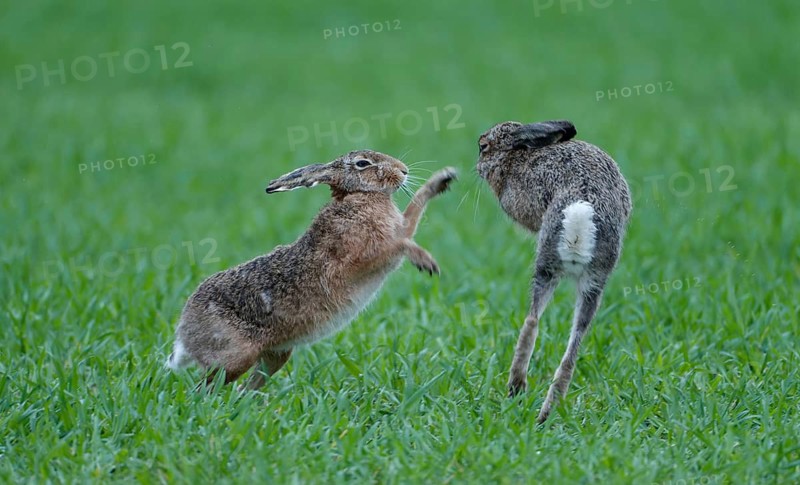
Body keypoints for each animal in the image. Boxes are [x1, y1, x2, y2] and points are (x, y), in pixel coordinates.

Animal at [166, 149, 457, 389]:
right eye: (363, 163)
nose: (404, 170)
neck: (357, 196)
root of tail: (184, 332)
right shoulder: (367, 255)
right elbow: (402, 243)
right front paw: (426, 262)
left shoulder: (398, 229)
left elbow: (413, 213)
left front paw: (443, 180)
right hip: (237, 356)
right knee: (206, 388)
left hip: (277, 355)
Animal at [476, 120, 631, 423]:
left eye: (483, 146)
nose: (477, 167)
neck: (516, 155)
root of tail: (582, 210)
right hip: (596, 279)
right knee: (571, 352)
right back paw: (544, 414)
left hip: (546, 265)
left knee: (531, 321)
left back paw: (516, 389)